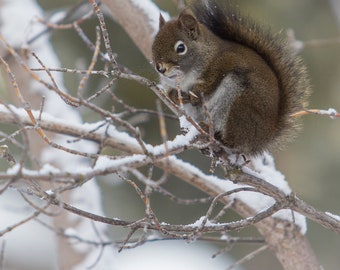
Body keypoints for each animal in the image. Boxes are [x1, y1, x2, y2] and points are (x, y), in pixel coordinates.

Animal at [151, 0, 308, 156]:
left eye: (181, 48)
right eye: (154, 45)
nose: (160, 68)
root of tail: (263, 138)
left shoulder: (228, 61)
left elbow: (212, 80)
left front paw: (196, 93)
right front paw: (174, 95)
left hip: (240, 104)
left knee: (233, 140)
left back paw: (215, 134)